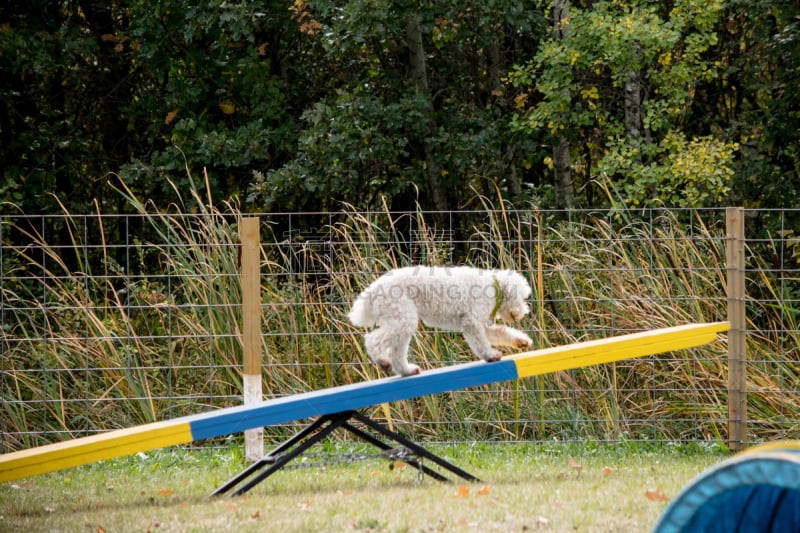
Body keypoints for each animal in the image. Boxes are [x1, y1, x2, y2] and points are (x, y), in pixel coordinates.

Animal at [348, 264, 532, 374]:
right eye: (523, 298)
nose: (524, 312)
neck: (494, 287)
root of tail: (372, 290)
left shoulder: (482, 325)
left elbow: (502, 332)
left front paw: (522, 341)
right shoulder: (472, 322)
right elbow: (481, 343)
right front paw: (490, 355)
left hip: (401, 321)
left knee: (396, 352)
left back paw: (407, 371)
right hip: (401, 318)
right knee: (372, 340)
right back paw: (383, 362)